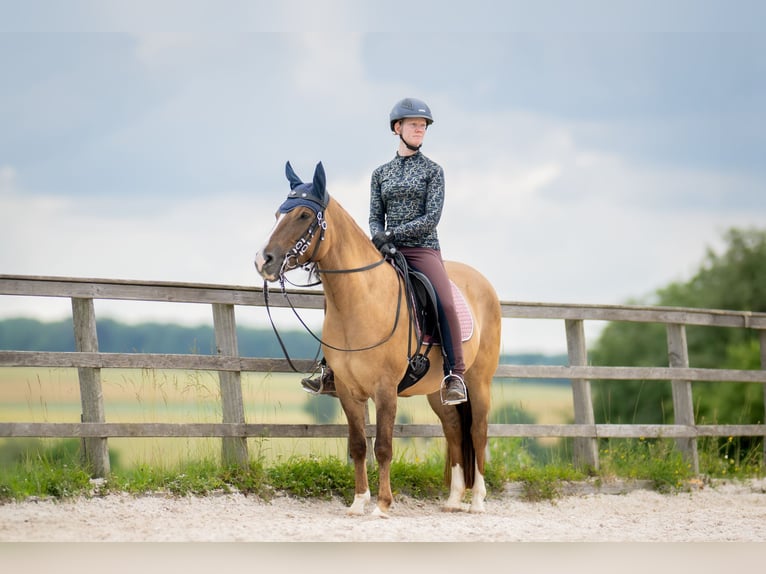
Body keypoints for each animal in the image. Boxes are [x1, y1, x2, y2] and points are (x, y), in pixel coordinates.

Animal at [255, 161, 500, 516]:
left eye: (303, 215)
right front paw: (359, 502)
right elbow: (359, 446)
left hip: (479, 382)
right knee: (454, 430)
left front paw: (382, 505)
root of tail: (482, 283)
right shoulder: (347, 390)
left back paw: (478, 501)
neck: (362, 300)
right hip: (436, 392)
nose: (264, 261)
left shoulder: (385, 390)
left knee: (477, 432)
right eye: (277, 214)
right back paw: (453, 500)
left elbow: (383, 446)